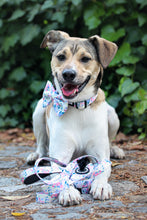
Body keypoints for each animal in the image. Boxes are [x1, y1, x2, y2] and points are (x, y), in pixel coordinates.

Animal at [27, 30, 124, 206]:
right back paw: (36, 155)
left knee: (110, 139)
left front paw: (101, 185)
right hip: (39, 110)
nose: (68, 74)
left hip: (113, 115)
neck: (79, 107)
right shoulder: (60, 155)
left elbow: (102, 170)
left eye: (85, 58)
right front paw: (67, 191)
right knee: (41, 143)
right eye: (61, 56)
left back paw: (115, 149)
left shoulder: (100, 155)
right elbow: (61, 174)